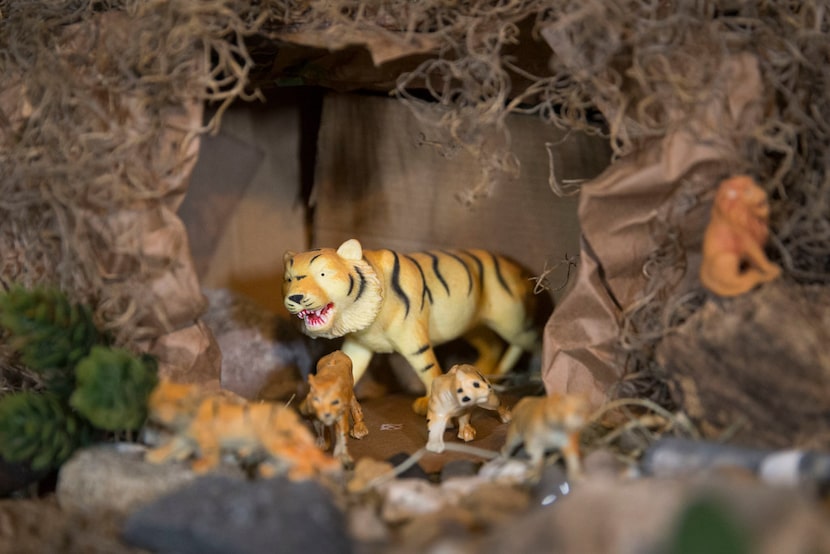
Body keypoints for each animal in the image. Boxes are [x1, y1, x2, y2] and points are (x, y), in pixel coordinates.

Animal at [282, 239, 540, 412]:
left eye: (323, 274)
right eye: (289, 279)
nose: (295, 297)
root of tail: (514, 267)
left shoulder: (414, 340)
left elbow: (428, 369)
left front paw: (431, 403)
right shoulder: (359, 345)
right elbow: (348, 368)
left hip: (510, 321)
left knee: (531, 339)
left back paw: (535, 375)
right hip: (473, 326)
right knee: (493, 346)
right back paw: (481, 373)